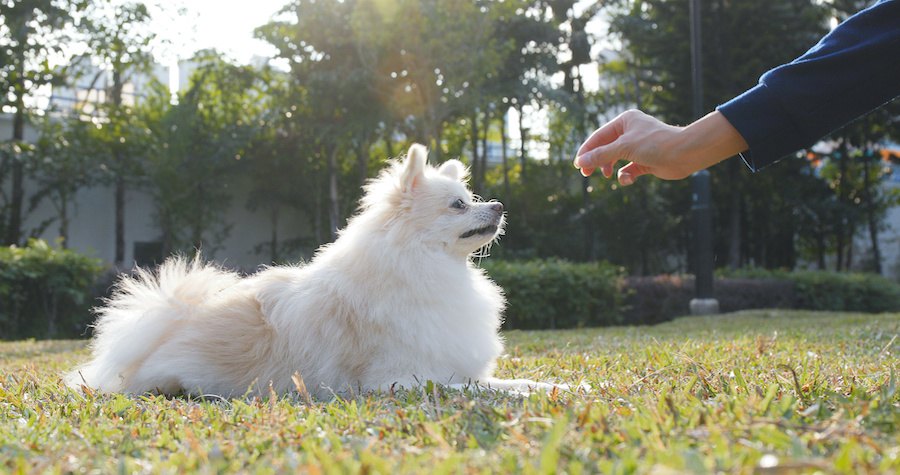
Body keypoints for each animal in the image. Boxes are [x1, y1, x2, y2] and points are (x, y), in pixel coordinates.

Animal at [68, 145, 564, 398]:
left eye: (473, 197)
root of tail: (170, 325)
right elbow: (484, 390)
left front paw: (559, 384)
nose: (498, 205)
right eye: (459, 205)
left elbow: (511, 382)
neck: (427, 267)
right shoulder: (402, 380)